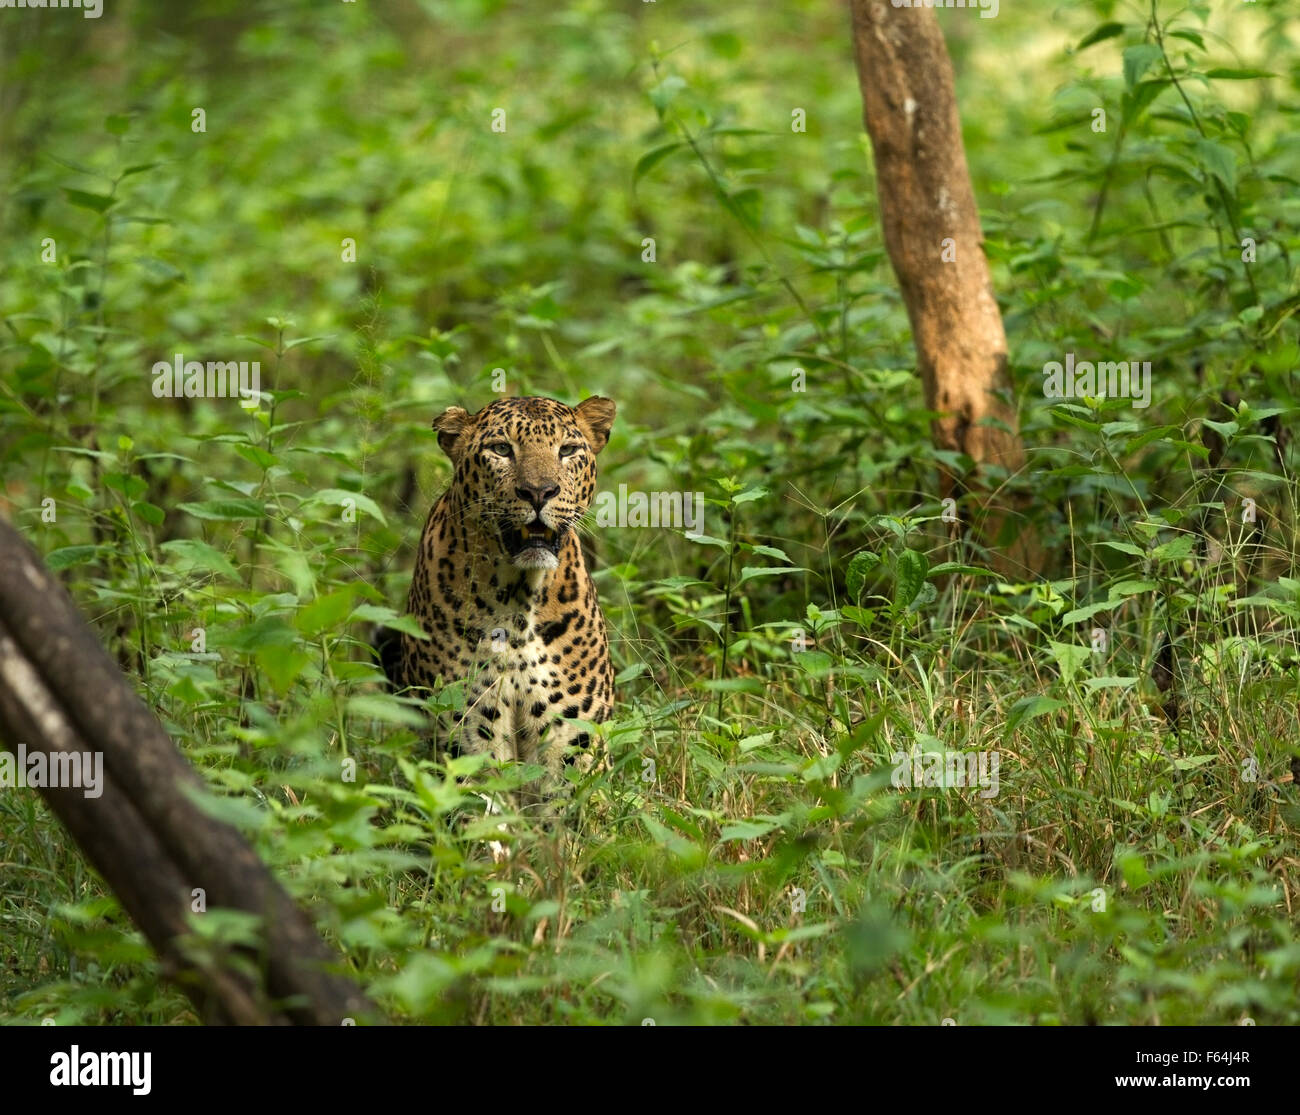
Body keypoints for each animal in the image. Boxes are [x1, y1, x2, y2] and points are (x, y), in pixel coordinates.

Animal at [379, 392, 616, 816]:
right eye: (502, 449)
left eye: (567, 450)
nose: (539, 492)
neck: (520, 600)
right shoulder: (468, 720)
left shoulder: (574, 731)